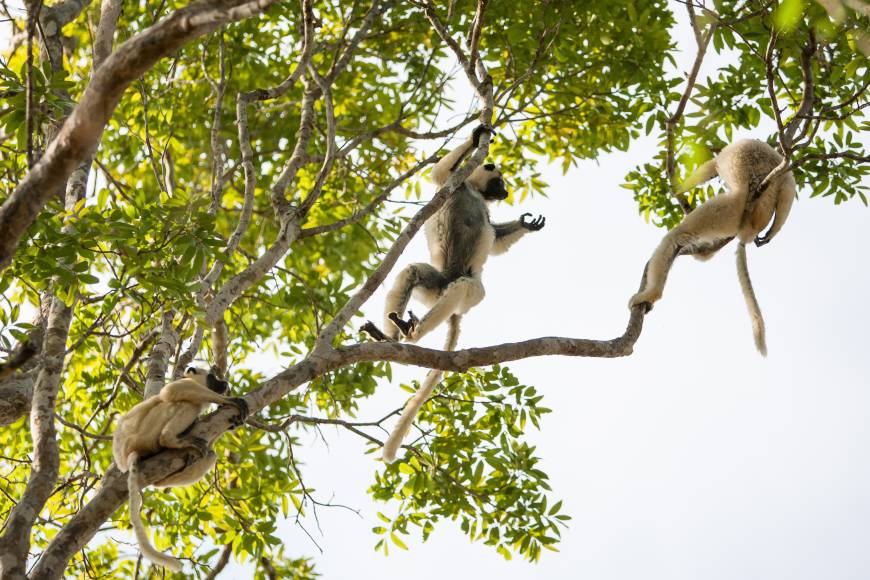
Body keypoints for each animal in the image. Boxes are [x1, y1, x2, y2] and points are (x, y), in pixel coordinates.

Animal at [112, 366, 248, 571]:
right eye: (212, 377)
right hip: (145, 432)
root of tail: (125, 455)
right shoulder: (186, 384)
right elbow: (171, 391)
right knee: (185, 404)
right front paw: (230, 400)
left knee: (210, 454)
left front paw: (233, 422)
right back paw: (170, 439)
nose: (224, 383)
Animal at [382, 125, 546, 344]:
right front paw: (476, 138)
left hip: (460, 290)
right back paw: (392, 335)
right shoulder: (455, 184)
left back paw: (407, 332)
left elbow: (495, 239)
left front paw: (525, 224)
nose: (506, 193)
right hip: (437, 286)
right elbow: (439, 173)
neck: (474, 190)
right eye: (499, 183)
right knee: (413, 272)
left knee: (461, 286)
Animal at [629, 139, 796, 355]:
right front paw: (771, 234)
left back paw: (651, 294)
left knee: (677, 236)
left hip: (729, 211)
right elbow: (789, 187)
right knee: (786, 191)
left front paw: (679, 188)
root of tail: (750, 228)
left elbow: (708, 167)